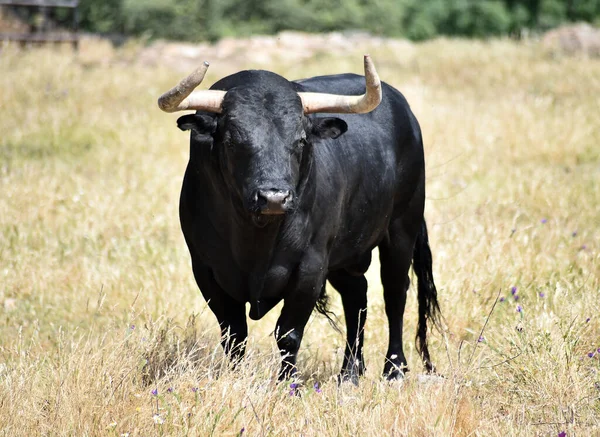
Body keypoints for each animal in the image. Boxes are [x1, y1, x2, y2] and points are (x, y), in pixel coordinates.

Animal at [169, 63, 440, 380]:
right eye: (232, 140)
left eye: (300, 140)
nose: (274, 197)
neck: (255, 242)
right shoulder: (205, 269)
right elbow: (234, 334)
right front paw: (235, 378)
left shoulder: (311, 266)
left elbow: (288, 333)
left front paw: (288, 383)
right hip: (346, 252)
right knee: (356, 296)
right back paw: (350, 372)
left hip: (401, 228)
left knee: (395, 293)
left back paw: (394, 368)